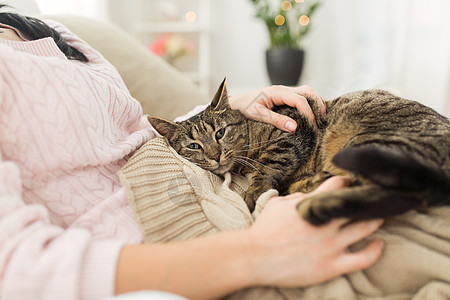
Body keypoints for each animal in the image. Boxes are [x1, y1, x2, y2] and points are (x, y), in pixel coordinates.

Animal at [149, 79, 450, 225]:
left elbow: (267, 167)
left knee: (403, 193)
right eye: (193, 146)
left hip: (372, 143)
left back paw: (316, 203)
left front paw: (254, 194)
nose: (214, 155)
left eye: (220, 133)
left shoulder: (294, 130)